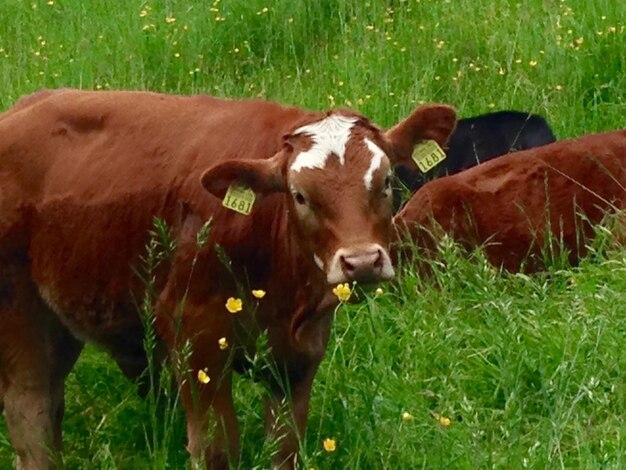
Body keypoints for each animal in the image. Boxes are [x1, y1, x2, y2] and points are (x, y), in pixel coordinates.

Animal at [0, 88, 454, 466]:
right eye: (300, 196)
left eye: (386, 181)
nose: (361, 262)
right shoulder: (193, 335)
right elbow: (217, 448)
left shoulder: (300, 354)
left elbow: (285, 446)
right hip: (20, 312)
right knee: (31, 413)